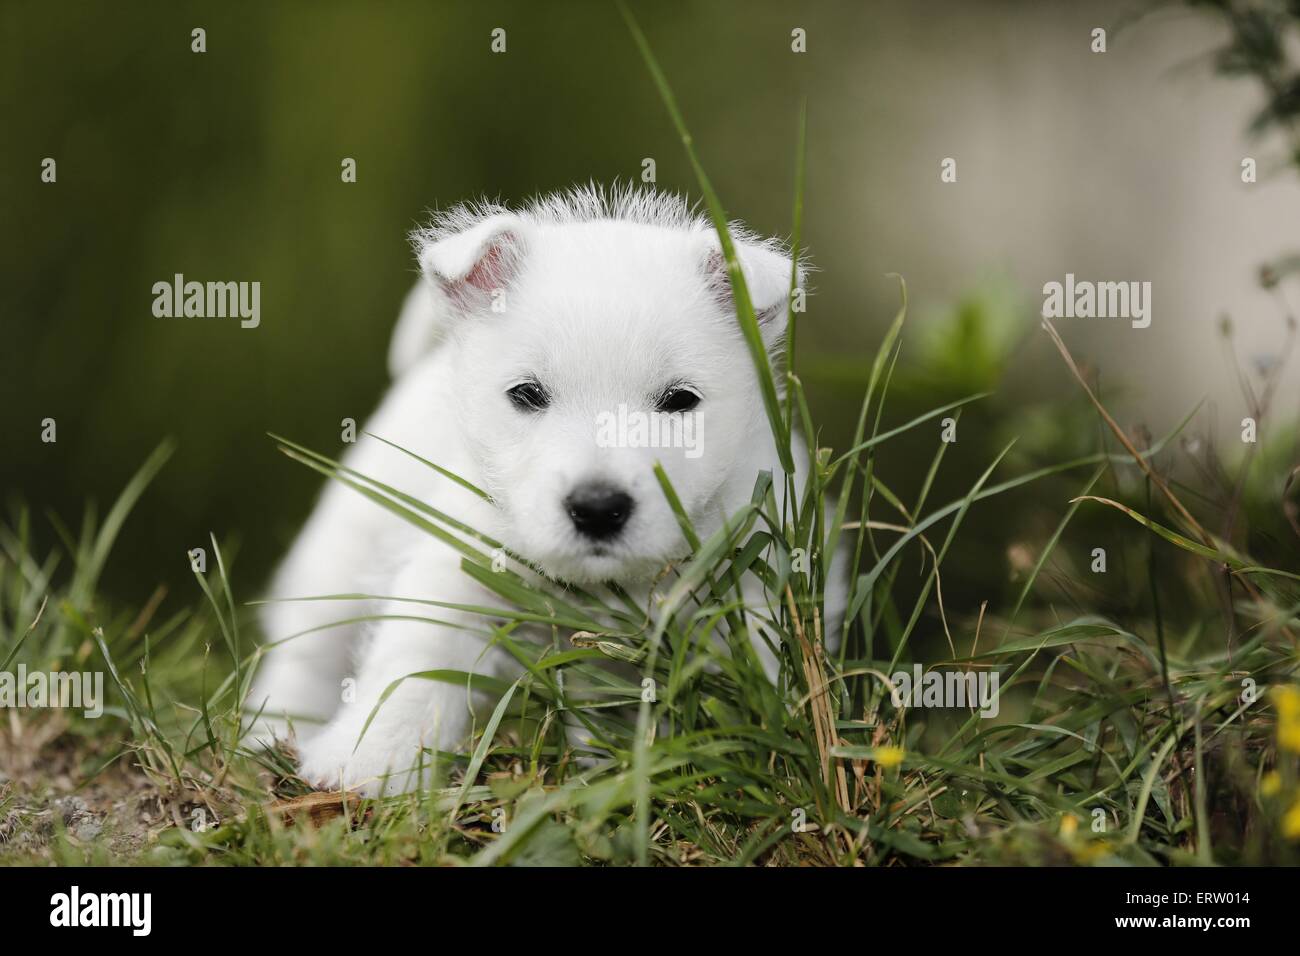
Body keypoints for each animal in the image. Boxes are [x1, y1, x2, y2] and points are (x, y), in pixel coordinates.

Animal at [246, 183, 847, 796]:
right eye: (527, 393)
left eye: (680, 400)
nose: (598, 508)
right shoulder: (459, 571)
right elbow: (414, 664)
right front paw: (368, 761)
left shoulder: (755, 574)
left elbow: (762, 664)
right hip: (338, 563)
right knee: (305, 657)